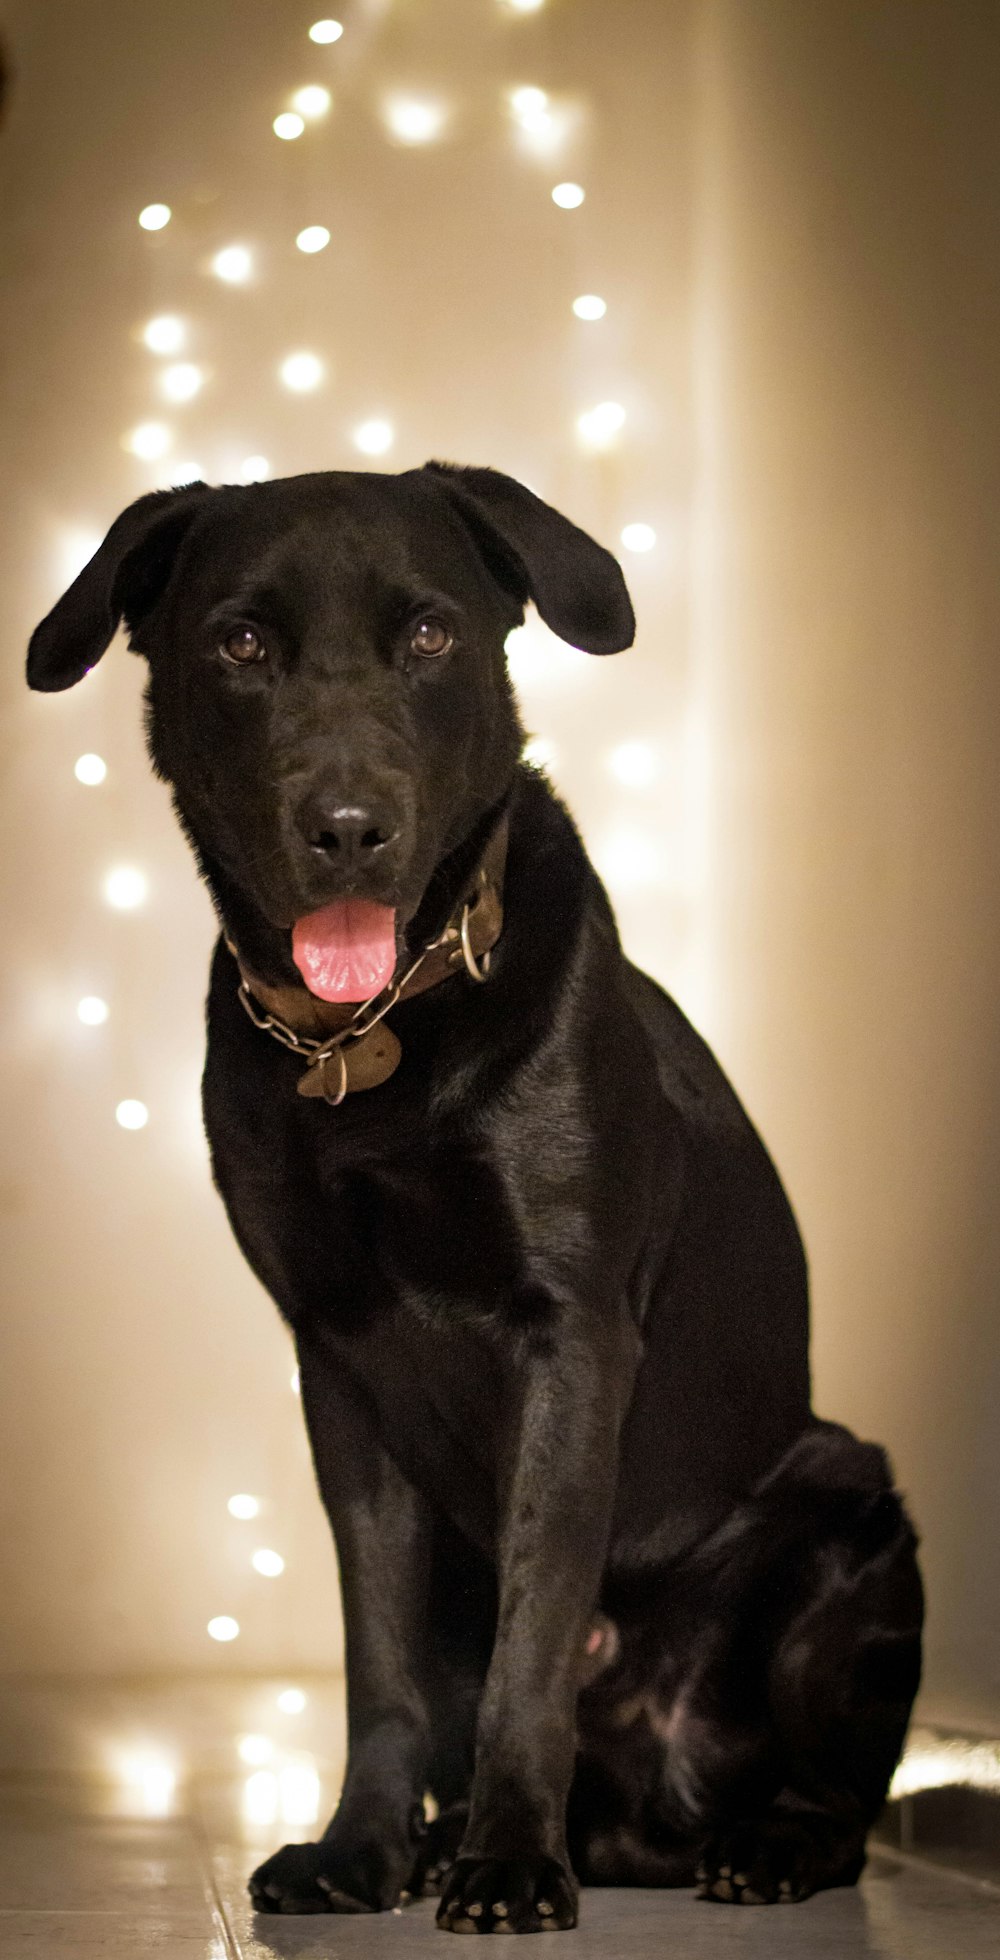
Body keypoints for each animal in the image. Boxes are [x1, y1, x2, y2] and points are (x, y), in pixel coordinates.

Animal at [29, 470, 921, 1928]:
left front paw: (508, 1859)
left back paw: (753, 1848)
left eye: (432, 635)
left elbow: (537, 1631)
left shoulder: (571, 1333)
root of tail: (646, 1822)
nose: (347, 831)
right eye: (241, 645)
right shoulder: (340, 1362)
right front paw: (361, 1850)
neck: (376, 1035)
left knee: (841, 1804)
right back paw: (445, 1838)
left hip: (848, 1507)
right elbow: (380, 1656)